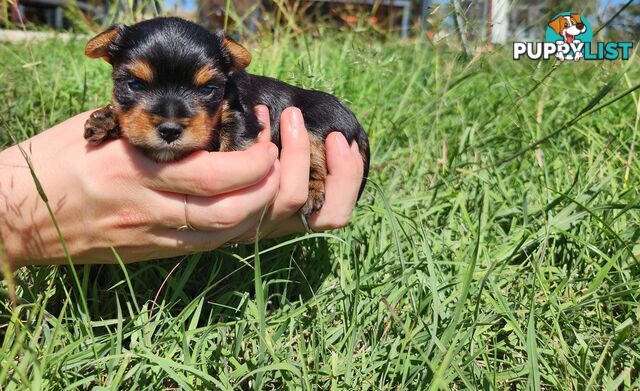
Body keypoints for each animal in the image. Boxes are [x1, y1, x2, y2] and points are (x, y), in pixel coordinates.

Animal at [84, 16, 370, 216]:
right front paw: (105, 119)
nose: (170, 129)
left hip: (320, 122)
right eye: (134, 85)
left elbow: (234, 143)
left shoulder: (241, 117)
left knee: (317, 157)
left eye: (207, 89)